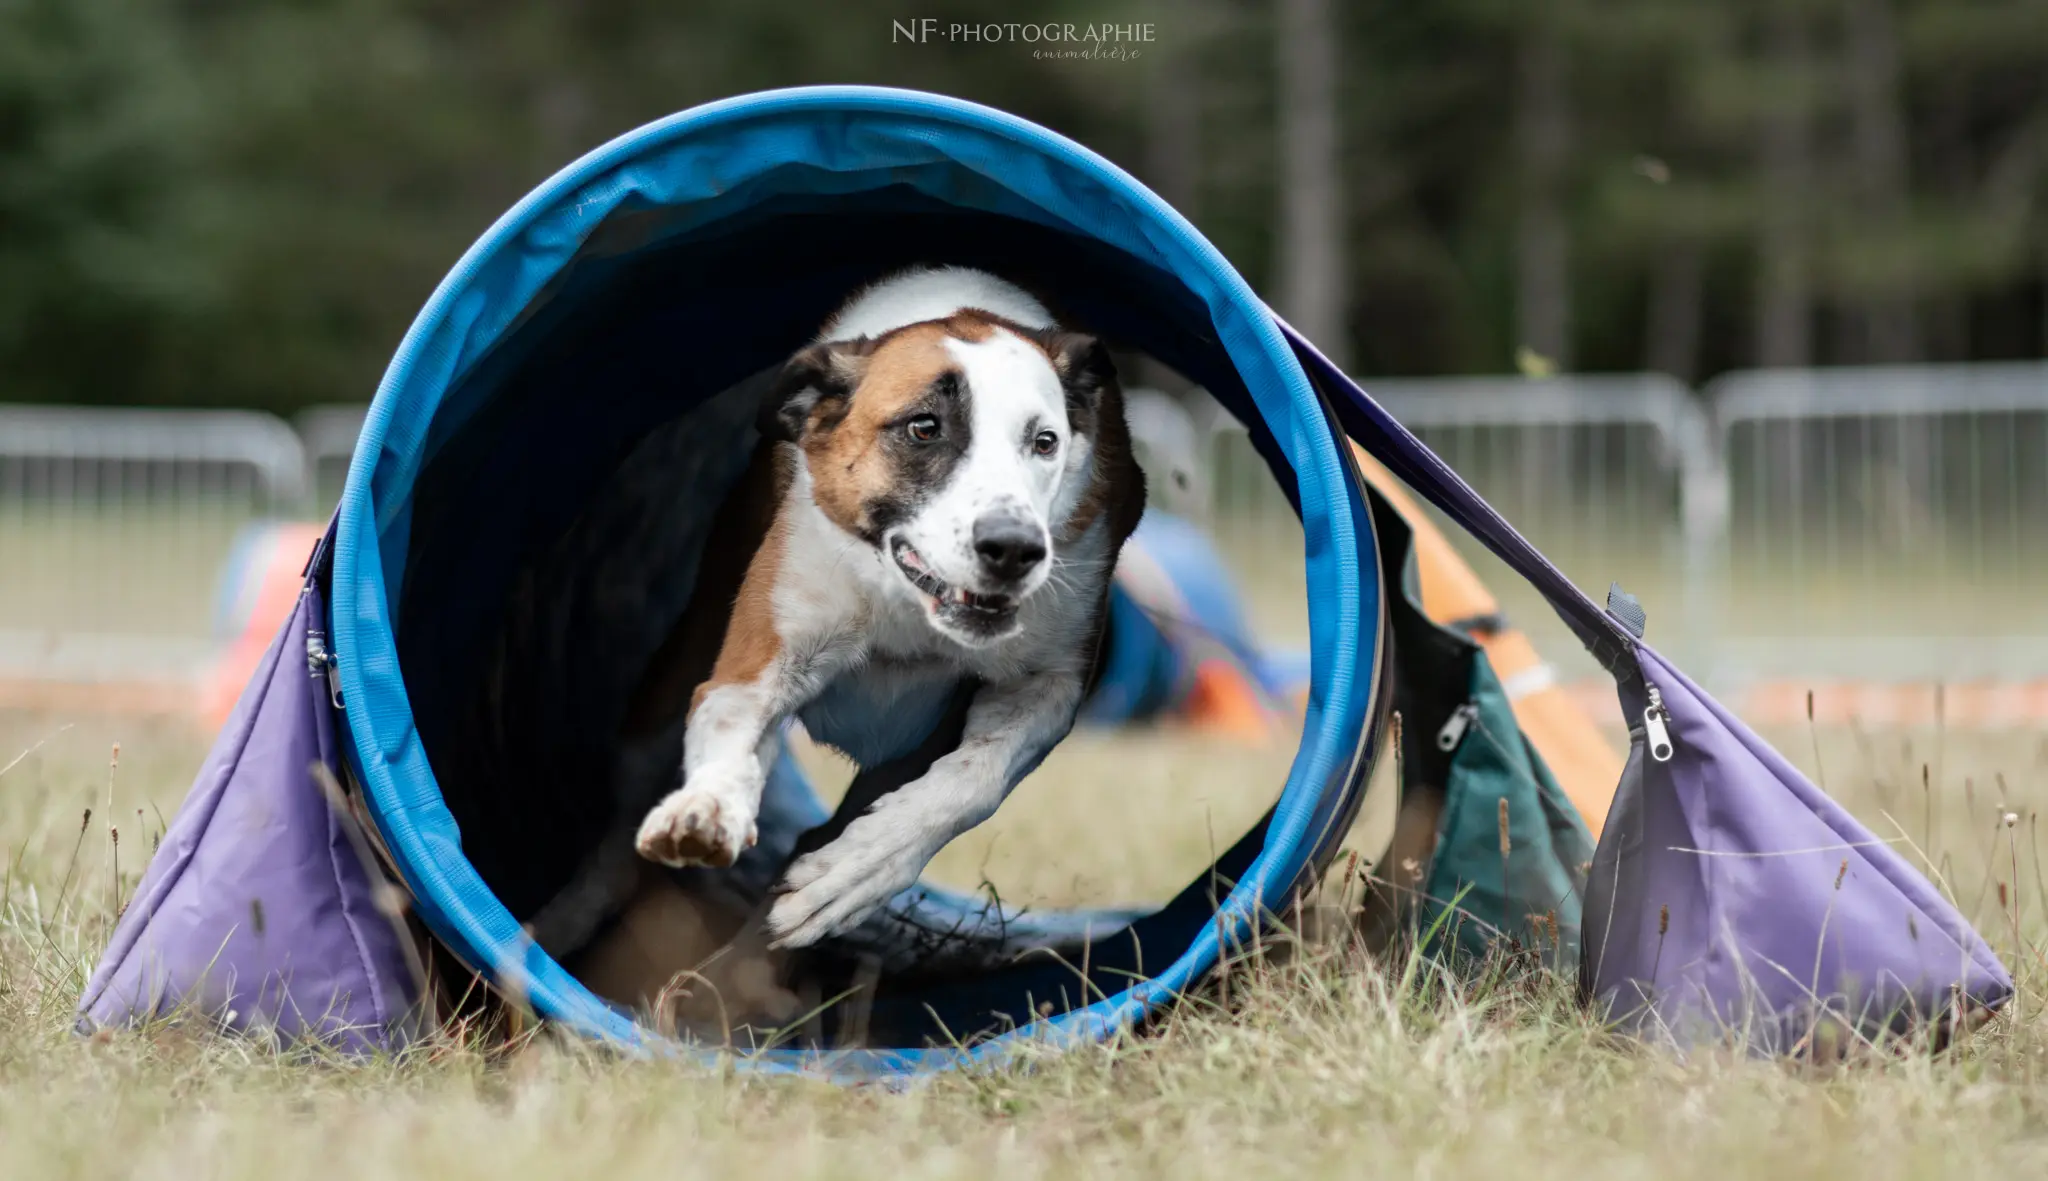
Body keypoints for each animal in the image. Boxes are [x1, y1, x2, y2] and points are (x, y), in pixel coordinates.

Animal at [622, 266, 1155, 949]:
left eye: (1044, 442)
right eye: (923, 427)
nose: (1015, 548)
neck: (908, 604)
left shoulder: (1046, 684)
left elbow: (973, 780)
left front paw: (844, 878)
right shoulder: (763, 655)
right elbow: (730, 722)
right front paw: (707, 808)